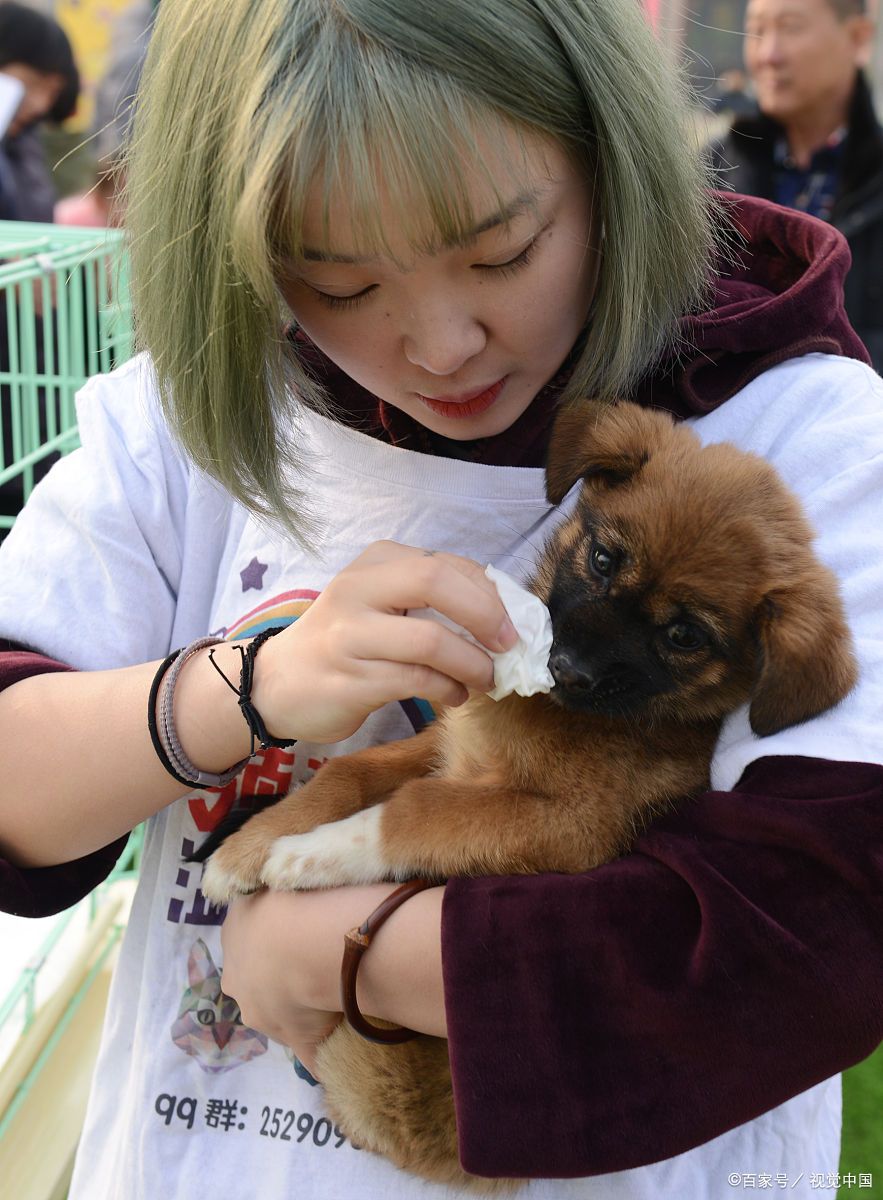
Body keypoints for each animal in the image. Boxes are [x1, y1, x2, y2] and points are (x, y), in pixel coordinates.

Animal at [197, 400, 854, 1190]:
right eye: (603, 560)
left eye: (683, 635)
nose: (564, 668)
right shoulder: (450, 743)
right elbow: (351, 775)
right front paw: (248, 848)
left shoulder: (568, 826)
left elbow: (412, 810)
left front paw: (306, 856)